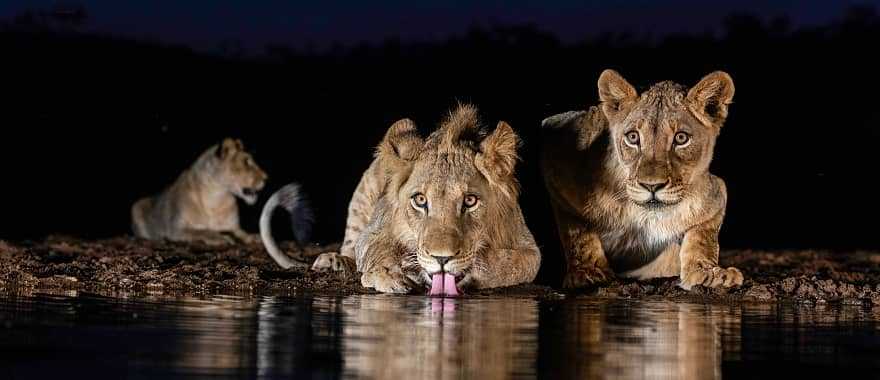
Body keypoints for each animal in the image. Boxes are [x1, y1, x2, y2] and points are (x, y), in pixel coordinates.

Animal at [132, 138, 266, 245]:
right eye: (247, 162)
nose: (266, 178)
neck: (217, 198)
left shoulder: (235, 227)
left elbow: (243, 233)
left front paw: (254, 237)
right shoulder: (176, 229)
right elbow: (203, 231)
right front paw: (221, 238)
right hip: (136, 206)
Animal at [302, 105, 540, 296]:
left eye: (470, 201)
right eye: (420, 200)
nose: (441, 259)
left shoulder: (528, 248)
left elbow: (508, 264)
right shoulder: (375, 229)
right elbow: (375, 249)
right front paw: (388, 274)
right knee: (349, 246)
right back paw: (334, 262)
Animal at [544, 70, 744, 290]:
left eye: (681, 138)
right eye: (633, 137)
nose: (652, 186)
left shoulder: (716, 192)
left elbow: (703, 235)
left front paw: (708, 271)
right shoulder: (558, 165)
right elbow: (579, 232)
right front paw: (589, 270)